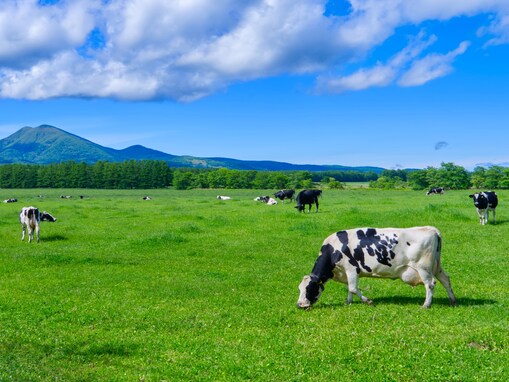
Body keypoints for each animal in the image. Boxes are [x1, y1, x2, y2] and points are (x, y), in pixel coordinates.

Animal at [294, 225, 456, 308]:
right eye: (300, 289)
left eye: (309, 288)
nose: (299, 304)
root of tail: (431, 229)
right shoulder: (346, 272)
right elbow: (349, 288)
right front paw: (348, 302)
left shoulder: (351, 269)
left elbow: (353, 288)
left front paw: (368, 301)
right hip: (436, 266)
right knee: (446, 280)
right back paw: (452, 301)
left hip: (423, 267)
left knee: (430, 284)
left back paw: (426, 305)